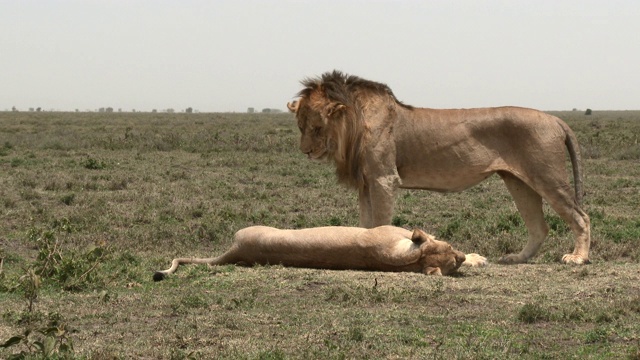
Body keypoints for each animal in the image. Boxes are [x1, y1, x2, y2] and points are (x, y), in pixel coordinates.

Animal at [288, 71, 592, 268]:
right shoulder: (366, 183)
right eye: (300, 127)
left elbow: (380, 221)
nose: (305, 151)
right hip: (519, 181)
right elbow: (365, 224)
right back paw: (516, 258)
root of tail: (555, 119)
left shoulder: (384, 178)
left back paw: (578, 258)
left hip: (547, 176)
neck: (353, 125)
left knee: (581, 216)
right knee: (539, 227)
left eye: (317, 128)